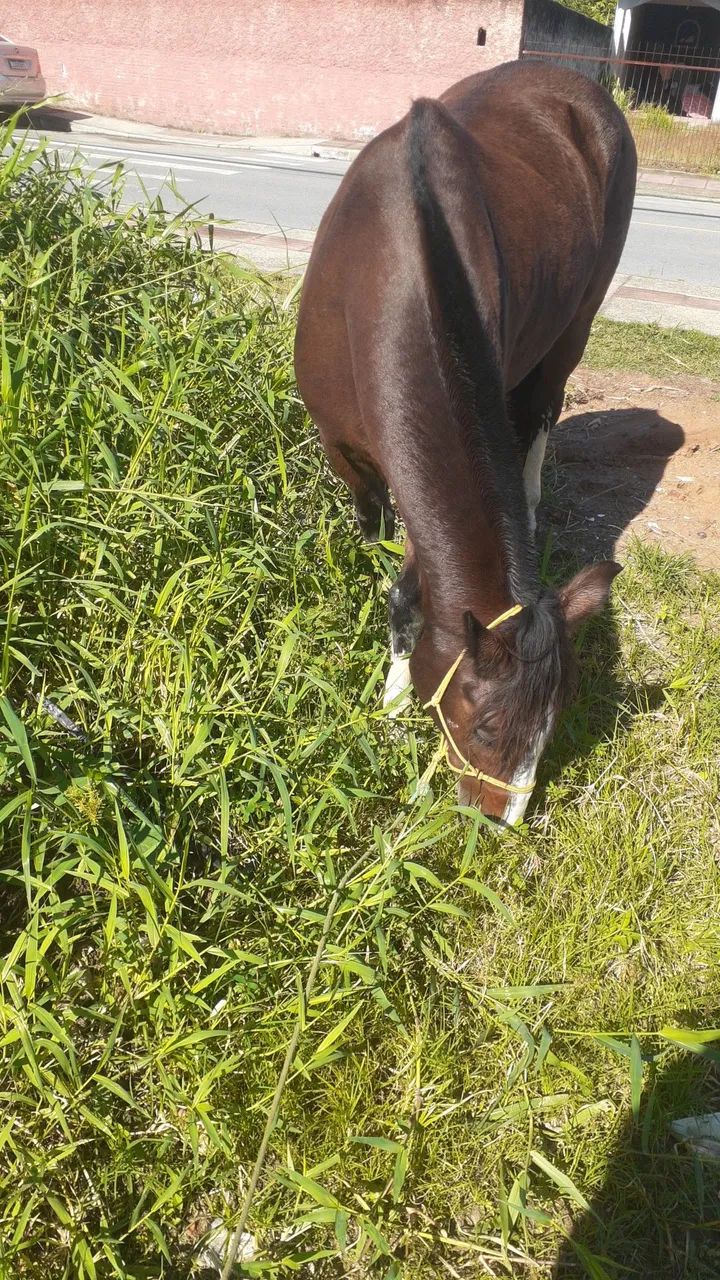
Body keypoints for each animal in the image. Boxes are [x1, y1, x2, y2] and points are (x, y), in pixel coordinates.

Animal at [294, 59, 637, 825]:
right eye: (484, 727)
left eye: (552, 729)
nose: (497, 822)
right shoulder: (342, 443)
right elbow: (383, 553)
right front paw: (391, 705)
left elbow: (412, 585)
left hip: (577, 318)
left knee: (541, 407)